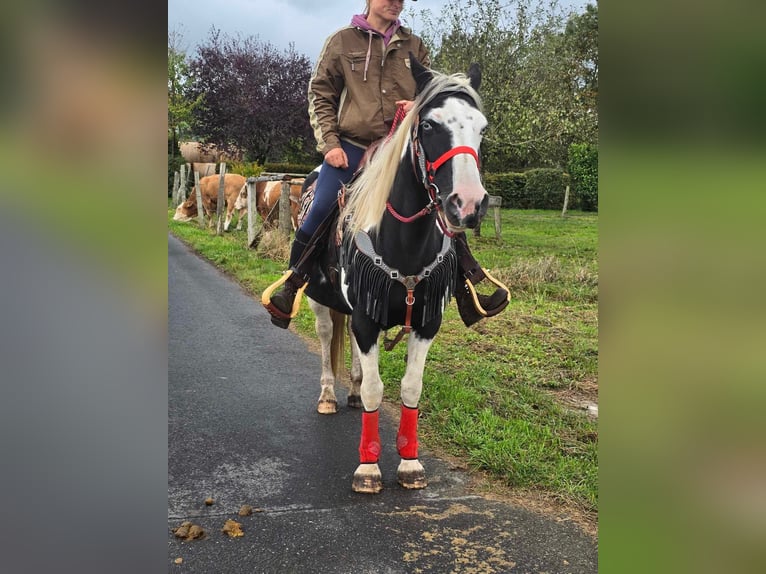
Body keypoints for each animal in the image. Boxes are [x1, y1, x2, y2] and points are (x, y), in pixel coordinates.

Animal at [300, 57, 486, 496]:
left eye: (482, 128)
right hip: (319, 301)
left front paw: (410, 462)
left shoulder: (425, 322)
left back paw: (349, 390)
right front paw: (368, 467)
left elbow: (410, 387)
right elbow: (375, 388)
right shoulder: (368, 319)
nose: (469, 204)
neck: (404, 242)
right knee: (327, 338)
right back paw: (330, 395)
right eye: (430, 126)